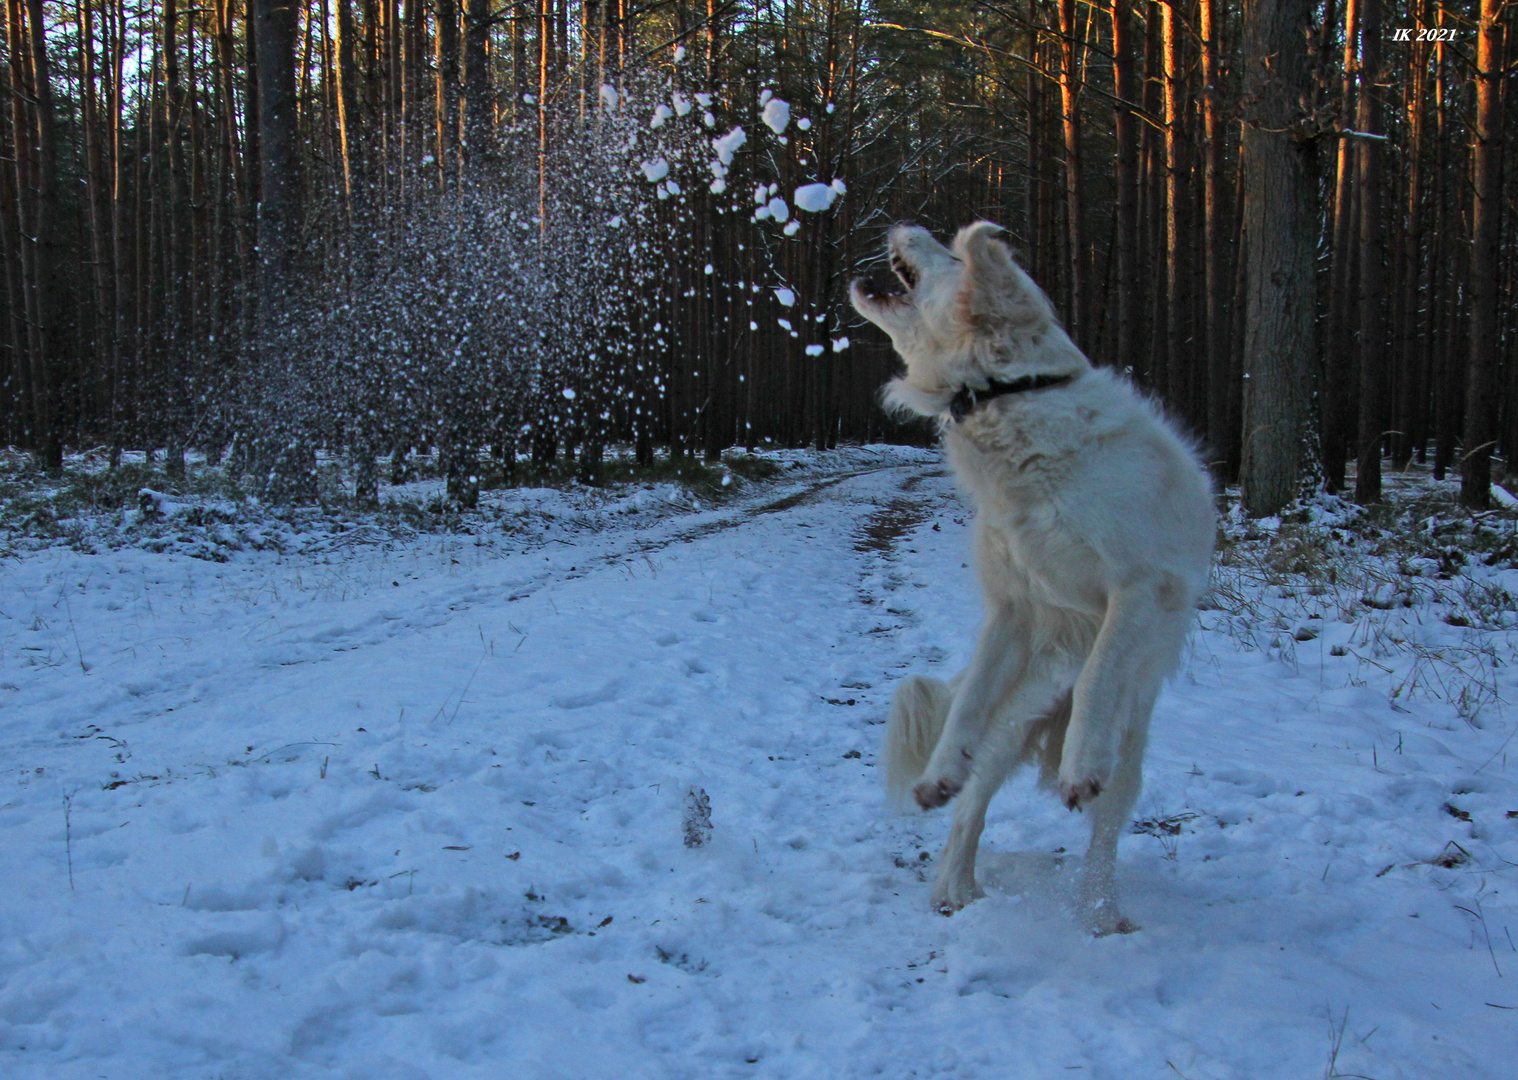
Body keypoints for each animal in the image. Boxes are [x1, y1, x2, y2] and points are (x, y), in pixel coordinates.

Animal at [850, 223, 1214, 935]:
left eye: (950, 254)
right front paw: (938, 775)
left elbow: (1099, 671)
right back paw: (954, 887)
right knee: (971, 804)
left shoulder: (1141, 586)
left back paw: (1100, 916)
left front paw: (1080, 765)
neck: (1008, 396)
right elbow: (966, 706)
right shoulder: (1012, 610)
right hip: (1010, 725)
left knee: (1102, 833)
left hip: (1127, 752)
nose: (904, 225)